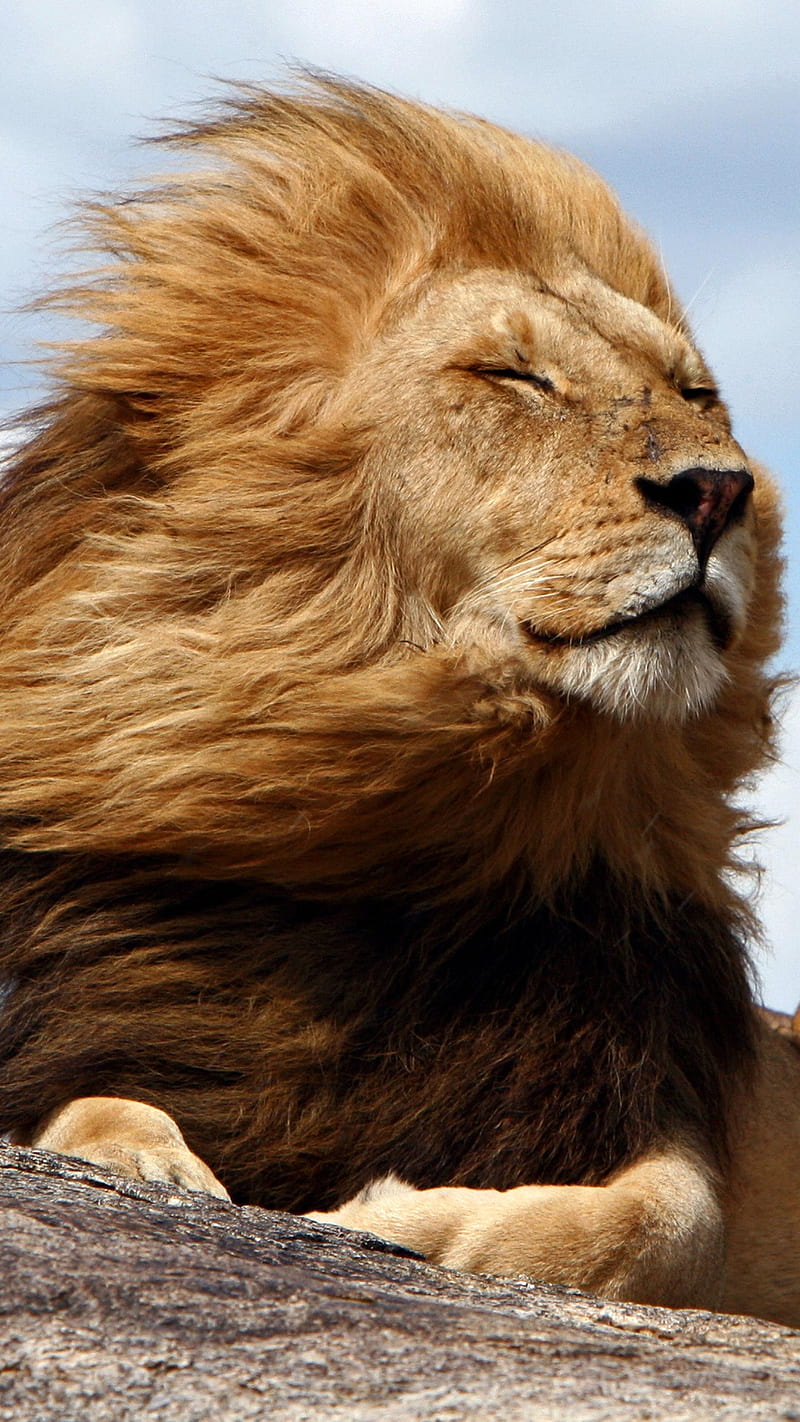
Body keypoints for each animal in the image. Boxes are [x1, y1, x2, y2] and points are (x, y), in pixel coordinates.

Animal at [1, 76, 798, 1328]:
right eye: (518, 379)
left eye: (695, 393)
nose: (719, 489)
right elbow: (91, 1105)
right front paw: (150, 1165)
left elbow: (657, 1224)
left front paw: (397, 1222)